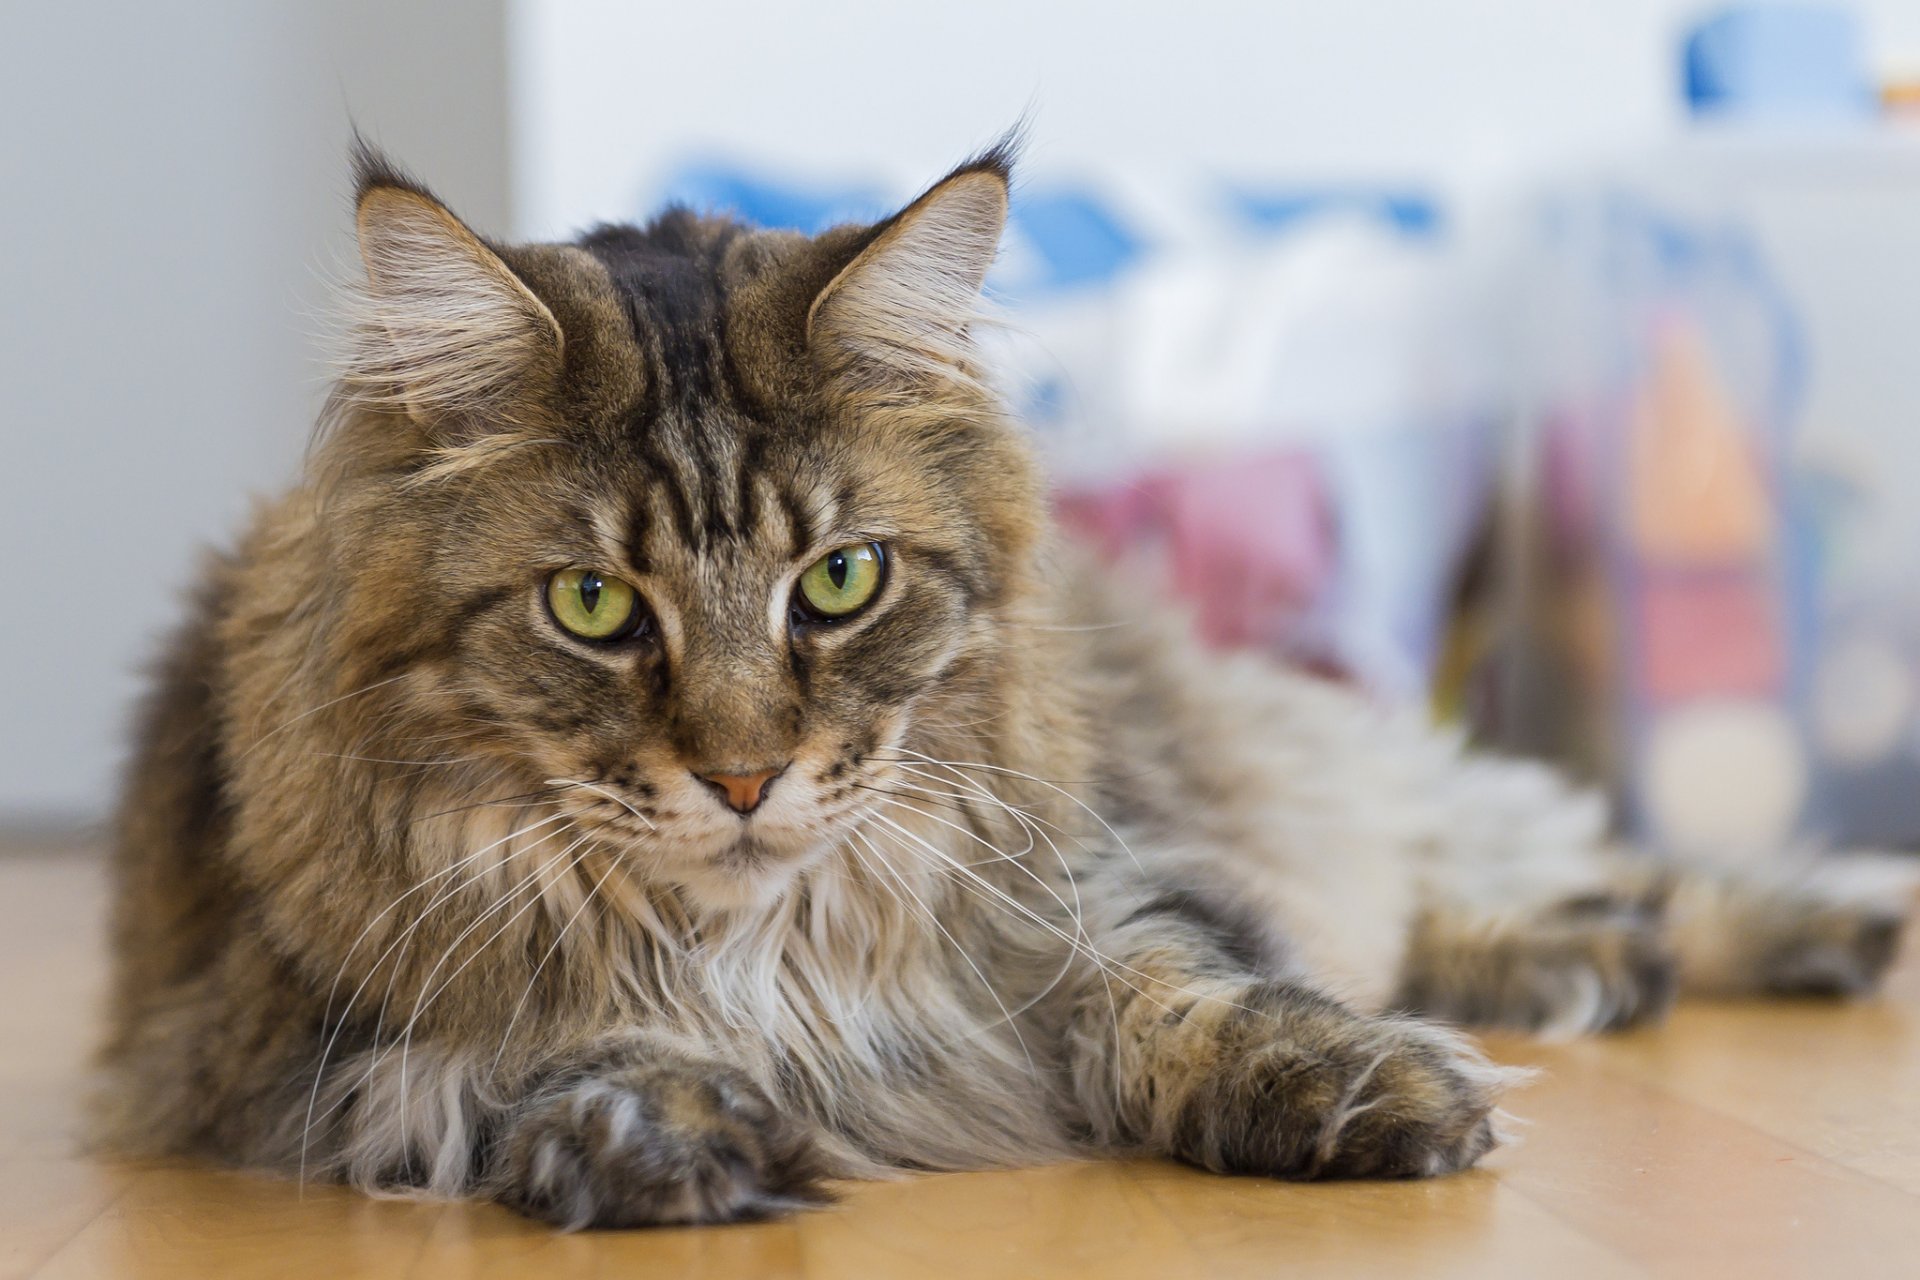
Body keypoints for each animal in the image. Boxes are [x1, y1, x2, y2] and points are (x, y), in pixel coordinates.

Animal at [97, 140, 1912, 1228]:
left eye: (840, 582)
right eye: (596, 606)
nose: (745, 778)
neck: (762, 945)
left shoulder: (1087, 882)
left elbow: (1189, 982)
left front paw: (1345, 1083)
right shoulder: (319, 1032)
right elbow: (539, 1046)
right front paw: (665, 1130)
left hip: (1302, 768)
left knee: (1540, 858)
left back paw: (1818, 922)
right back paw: (1598, 965)